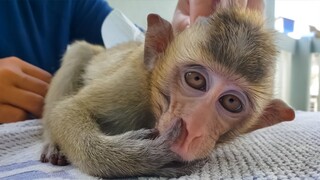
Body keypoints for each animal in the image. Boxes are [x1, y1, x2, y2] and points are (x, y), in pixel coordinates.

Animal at [40, 4, 296, 179]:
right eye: (196, 79)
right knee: (79, 52)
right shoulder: (132, 85)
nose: (192, 131)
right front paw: (140, 158)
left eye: (231, 101)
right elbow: (68, 110)